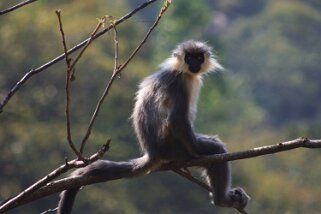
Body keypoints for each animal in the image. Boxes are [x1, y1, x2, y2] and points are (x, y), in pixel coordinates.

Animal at [56, 40, 249, 214]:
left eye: (198, 57)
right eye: (189, 57)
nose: (194, 64)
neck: (184, 72)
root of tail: (153, 153)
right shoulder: (180, 82)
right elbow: (177, 119)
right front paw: (200, 151)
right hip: (176, 149)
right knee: (216, 150)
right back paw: (221, 200)